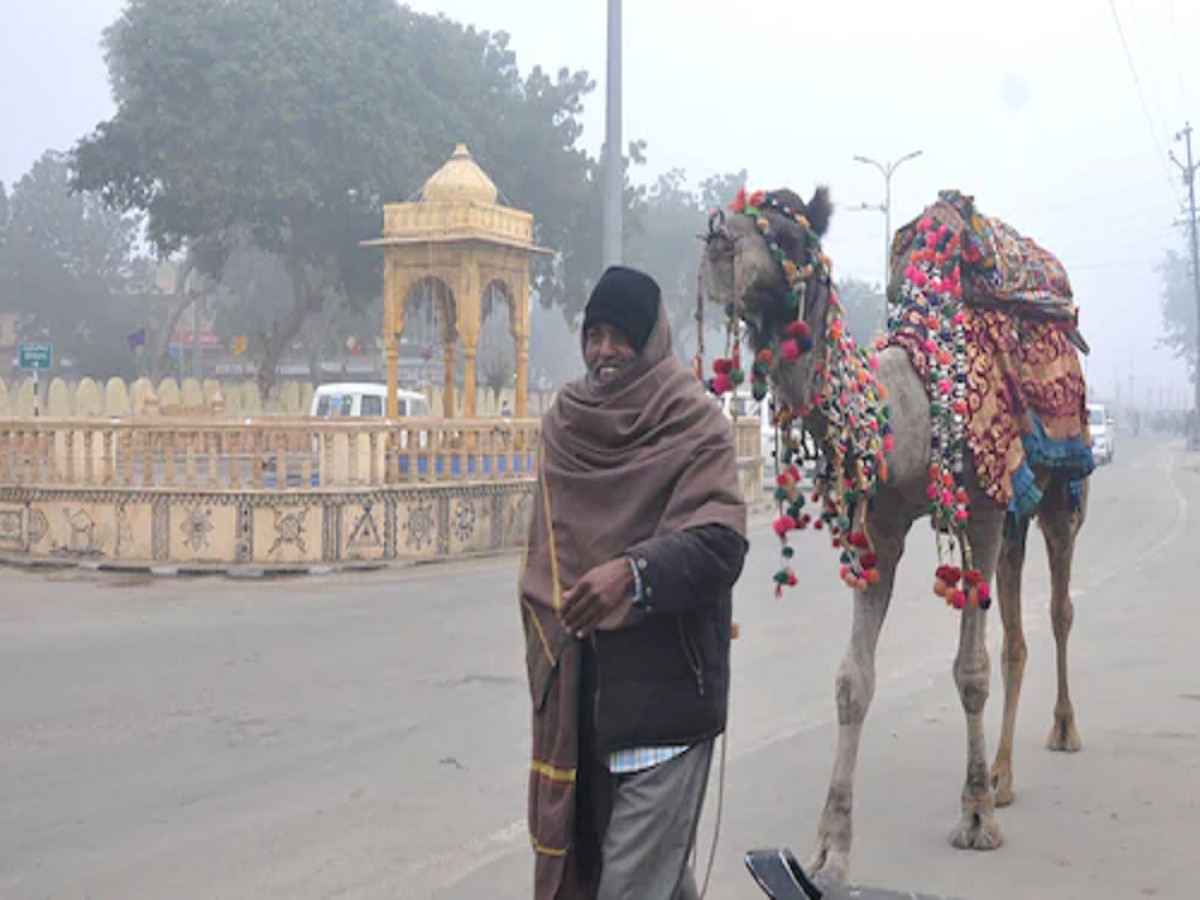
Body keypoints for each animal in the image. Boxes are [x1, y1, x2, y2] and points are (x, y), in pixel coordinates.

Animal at [696, 187, 1099, 883]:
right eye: (737, 212)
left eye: (788, 236)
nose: (719, 240)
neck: (911, 407)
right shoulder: (880, 527)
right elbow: (852, 681)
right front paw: (829, 849)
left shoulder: (981, 514)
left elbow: (971, 670)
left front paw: (974, 819)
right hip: (1016, 514)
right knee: (1017, 633)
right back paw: (1003, 775)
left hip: (1056, 490)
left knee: (1057, 609)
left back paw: (1061, 733)